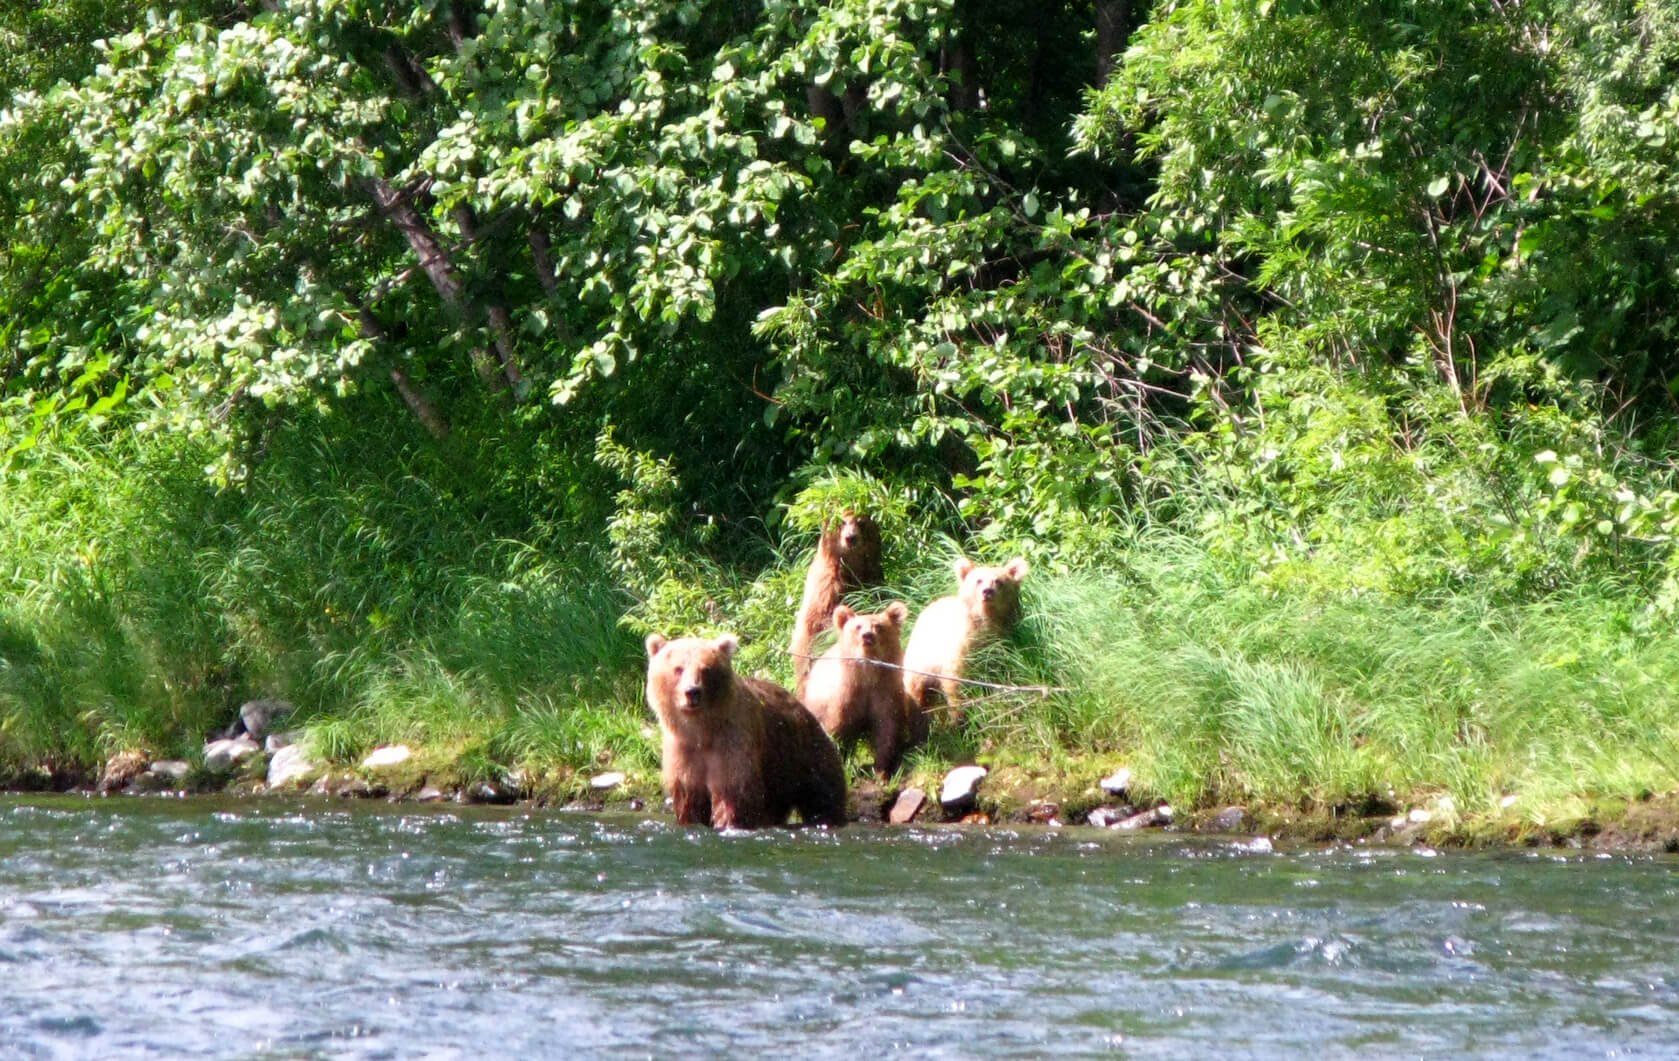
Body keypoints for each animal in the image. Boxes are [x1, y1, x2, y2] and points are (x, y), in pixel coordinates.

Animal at [644, 631, 846, 829]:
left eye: (706, 669)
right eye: (678, 668)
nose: (692, 691)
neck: (701, 730)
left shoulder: (732, 743)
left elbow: (733, 793)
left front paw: (729, 823)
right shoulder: (684, 752)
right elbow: (690, 800)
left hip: (804, 756)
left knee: (823, 795)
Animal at [792, 604, 913, 778]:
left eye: (879, 626)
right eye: (858, 626)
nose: (867, 636)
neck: (867, 676)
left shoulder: (885, 693)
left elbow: (887, 731)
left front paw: (882, 771)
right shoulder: (845, 698)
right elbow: (836, 730)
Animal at [906, 554, 1020, 721]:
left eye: (998, 581)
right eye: (978, 580)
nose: (987, 591)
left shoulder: (1002, 641)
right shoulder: (961, 647)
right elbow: (955, 681)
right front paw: (958, 717)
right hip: (921, 660)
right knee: (916, 688)